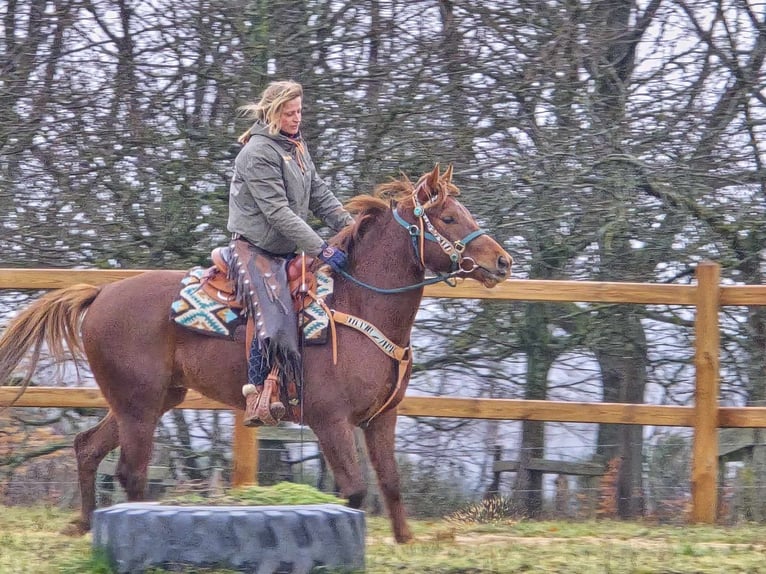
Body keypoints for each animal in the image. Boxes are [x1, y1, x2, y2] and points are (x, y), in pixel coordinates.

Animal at [3, 163, 516, 544]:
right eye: (448, 218)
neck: (358, 304)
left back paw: (83, 524)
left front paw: (405, 539)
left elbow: (388, 482)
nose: (501, 262)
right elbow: (352, 491)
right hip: (139, 404)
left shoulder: (380, 419)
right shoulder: (330, 420)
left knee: (88, 448)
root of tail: (100, 295)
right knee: (130, 471)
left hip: (150, 400)